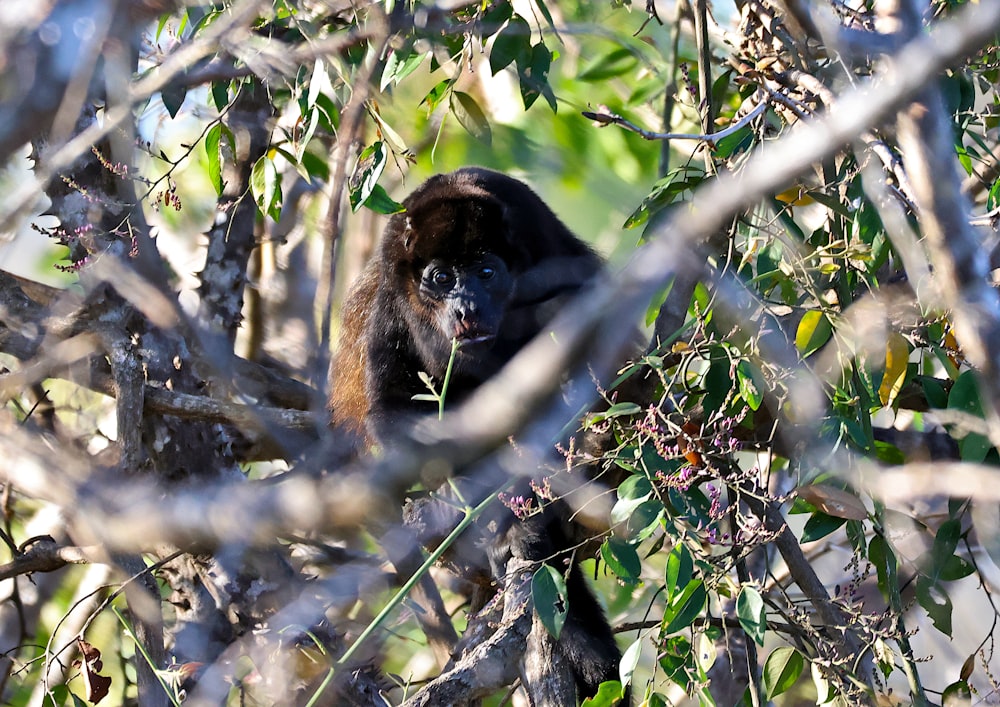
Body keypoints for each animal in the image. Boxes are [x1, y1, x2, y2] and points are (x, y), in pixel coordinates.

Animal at [328, 166, 624, 704]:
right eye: (441, 279)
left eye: (486, 273)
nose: (465, 307)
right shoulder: (392, 296)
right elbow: (394, 408)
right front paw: (477, 510)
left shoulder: (542, 240)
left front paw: (523, 519)